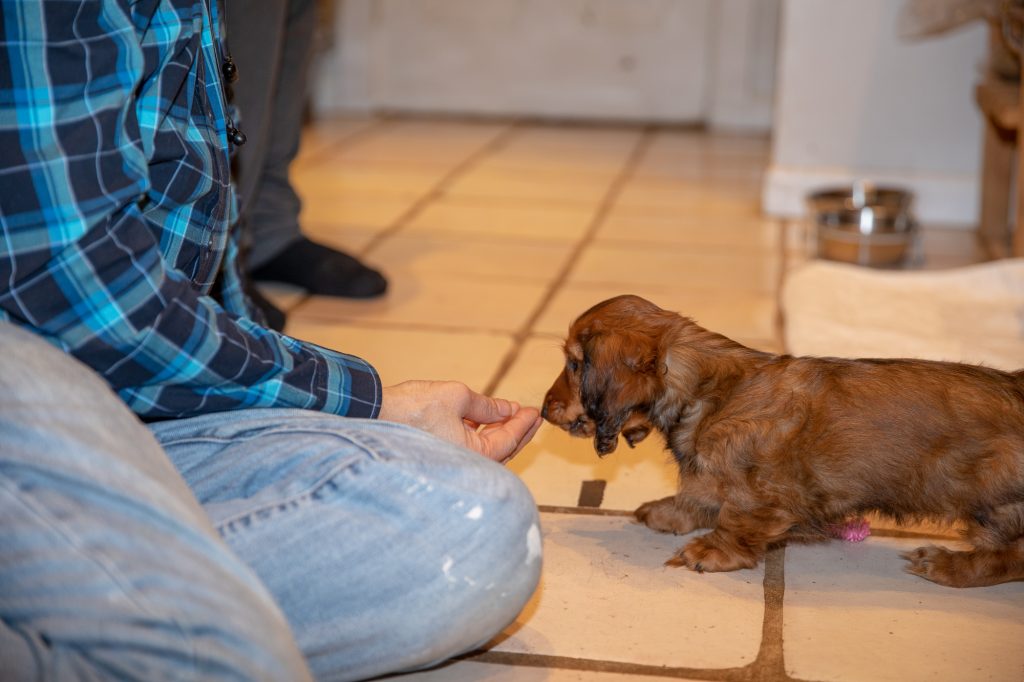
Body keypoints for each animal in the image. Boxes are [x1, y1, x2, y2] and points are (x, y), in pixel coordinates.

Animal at [544, 292, 1024, 585]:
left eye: (575, 364)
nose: (546, 409)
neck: (713, 392)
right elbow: (699, 491)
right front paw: (670, 511)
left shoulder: (762, 496)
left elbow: (736, 521)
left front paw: (712, 551)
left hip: (995, 500)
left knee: (1009, 558)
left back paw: (949, 564)